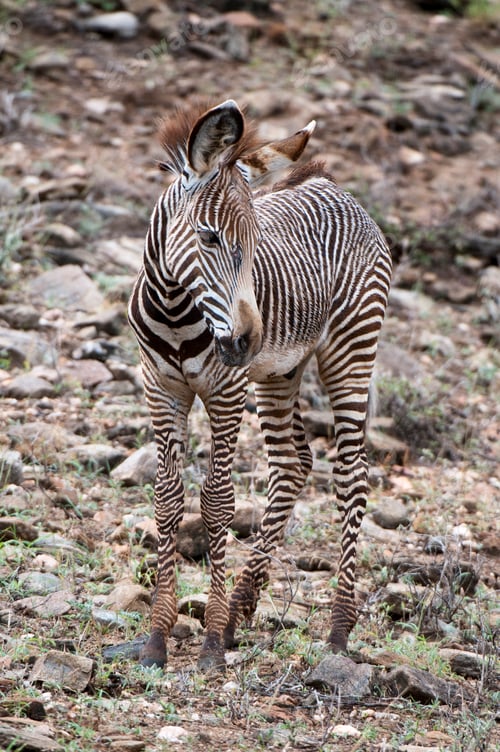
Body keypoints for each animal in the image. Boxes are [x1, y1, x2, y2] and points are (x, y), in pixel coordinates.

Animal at [128, 99, 392, 670]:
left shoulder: (227, 392)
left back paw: (338, 630)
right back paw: (241, 610)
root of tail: (337, 188)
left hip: (350, 350)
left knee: (352, 475)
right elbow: (167, 498)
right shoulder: (160, 388)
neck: (177, 310)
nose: (249, 338)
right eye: (209, 237)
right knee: (294, 463)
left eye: (255, 244)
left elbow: (218, 502)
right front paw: (159, 638)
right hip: (279, 372)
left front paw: (208, 643)